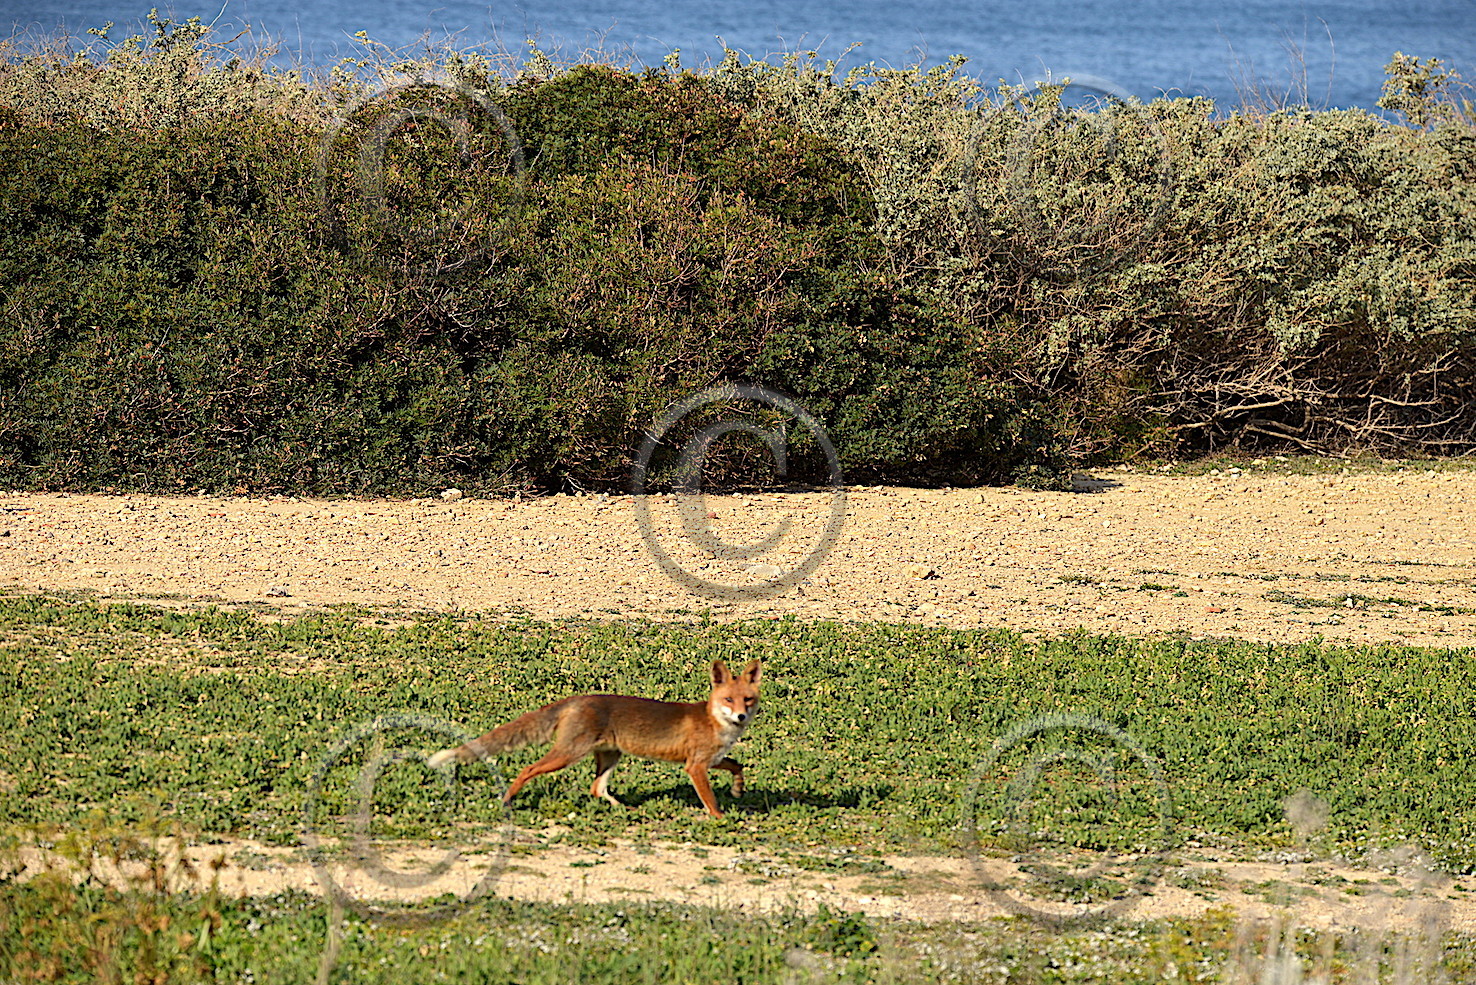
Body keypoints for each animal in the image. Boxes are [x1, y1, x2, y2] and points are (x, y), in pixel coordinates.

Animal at [427, 658, 762, 818]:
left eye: (747, 700)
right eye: (728, 700)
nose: (741, 717)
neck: (715, 722)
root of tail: (577, 698)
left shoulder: (712, 760)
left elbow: (738, 766)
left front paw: (737, 790)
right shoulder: (695, 766)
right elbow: (711, 800)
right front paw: (721, 818)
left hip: (611, 756)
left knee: (596, 788)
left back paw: (626, 810)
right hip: (568, 755)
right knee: (528, 769)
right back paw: (507, 799)